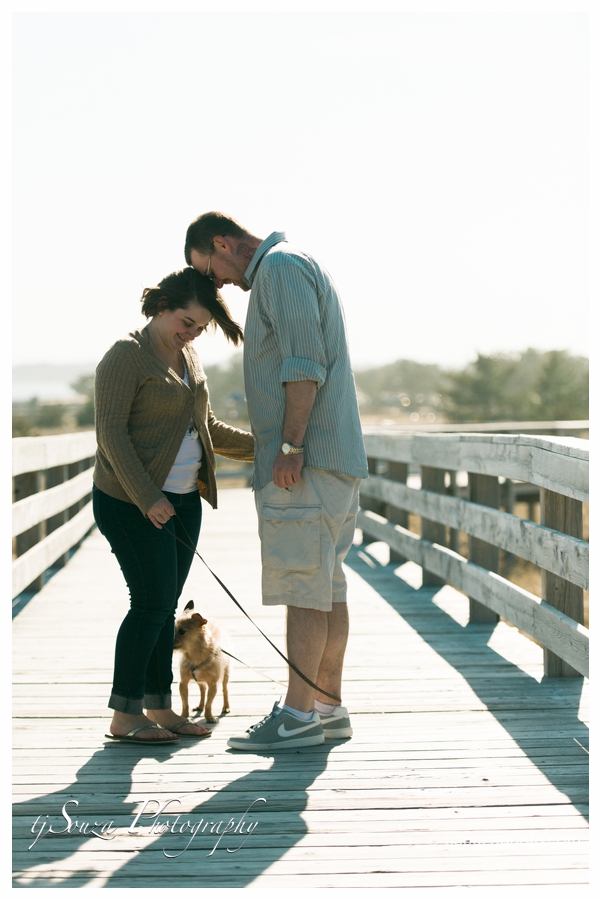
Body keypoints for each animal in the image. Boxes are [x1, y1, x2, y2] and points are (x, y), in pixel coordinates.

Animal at [175, 596, 231, 724]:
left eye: (182, 631)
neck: (195, 654)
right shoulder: (183, 683)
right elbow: (185, 703)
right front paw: (183, 717)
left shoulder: (213, 684)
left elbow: (209, 704)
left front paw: (209, 717)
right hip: (199, 681)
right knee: (202, 690)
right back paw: (200, 706)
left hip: (225, 674)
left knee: (225, 689)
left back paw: (226, 707)